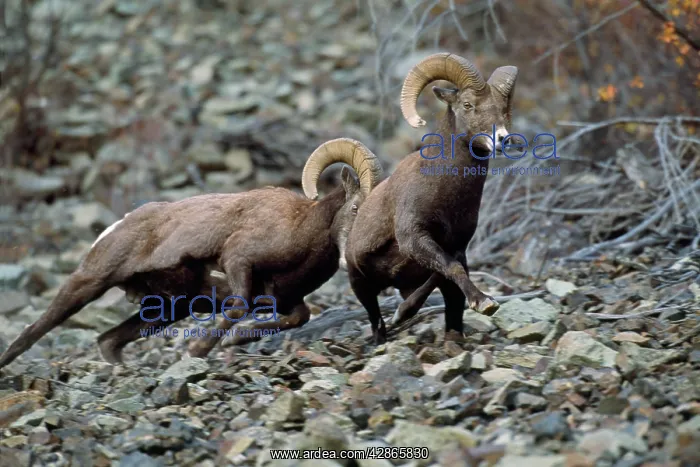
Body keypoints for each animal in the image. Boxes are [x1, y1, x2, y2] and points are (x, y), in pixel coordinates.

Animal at [0, 138, 383, 370]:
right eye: (354, 208)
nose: (353, 256)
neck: (301, 227)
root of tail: (117, 227)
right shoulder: (237, 260)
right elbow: (239, 306)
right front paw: (200, 350)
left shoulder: (285, 300)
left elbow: (298, 317)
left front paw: (235, 340)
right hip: (89, 283)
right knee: (32, 332)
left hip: (167, 309)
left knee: (108, 341)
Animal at [344, 53, 518, 344]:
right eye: (467, 104)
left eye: (504, 107)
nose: (502, 139)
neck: (447, 192)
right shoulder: (414, 237)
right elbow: (451, 268)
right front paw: (485, 303)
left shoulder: (457, 246)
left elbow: (447, 271)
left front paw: (404, 312)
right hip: (361, 285)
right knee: (376, 321)